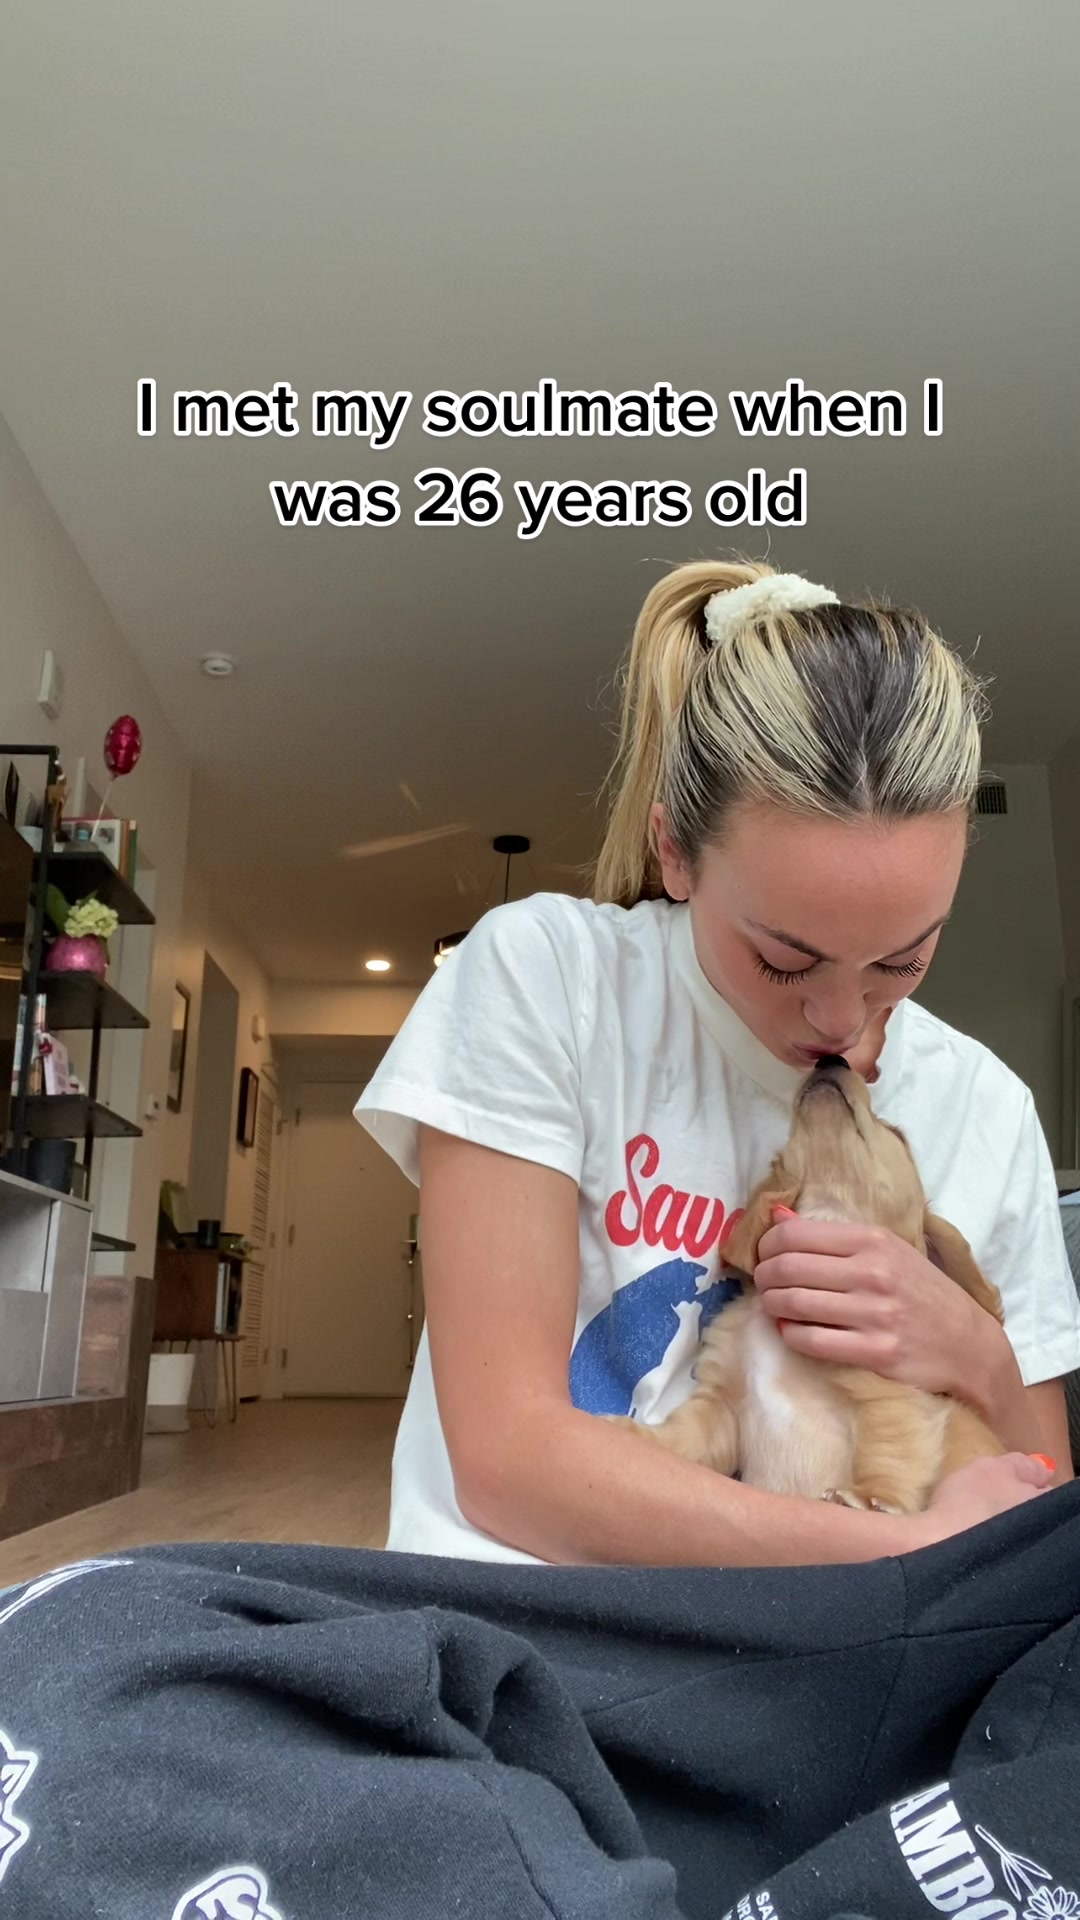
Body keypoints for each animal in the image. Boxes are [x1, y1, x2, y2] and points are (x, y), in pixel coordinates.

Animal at [611, 1054, 1005, 1513]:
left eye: (896, 1134)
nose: (832, 1058)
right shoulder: (723, 1407)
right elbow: (684, 1436)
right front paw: (638, 1437)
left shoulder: (893, 1398)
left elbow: (888, 1448)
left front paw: (870, 1496)